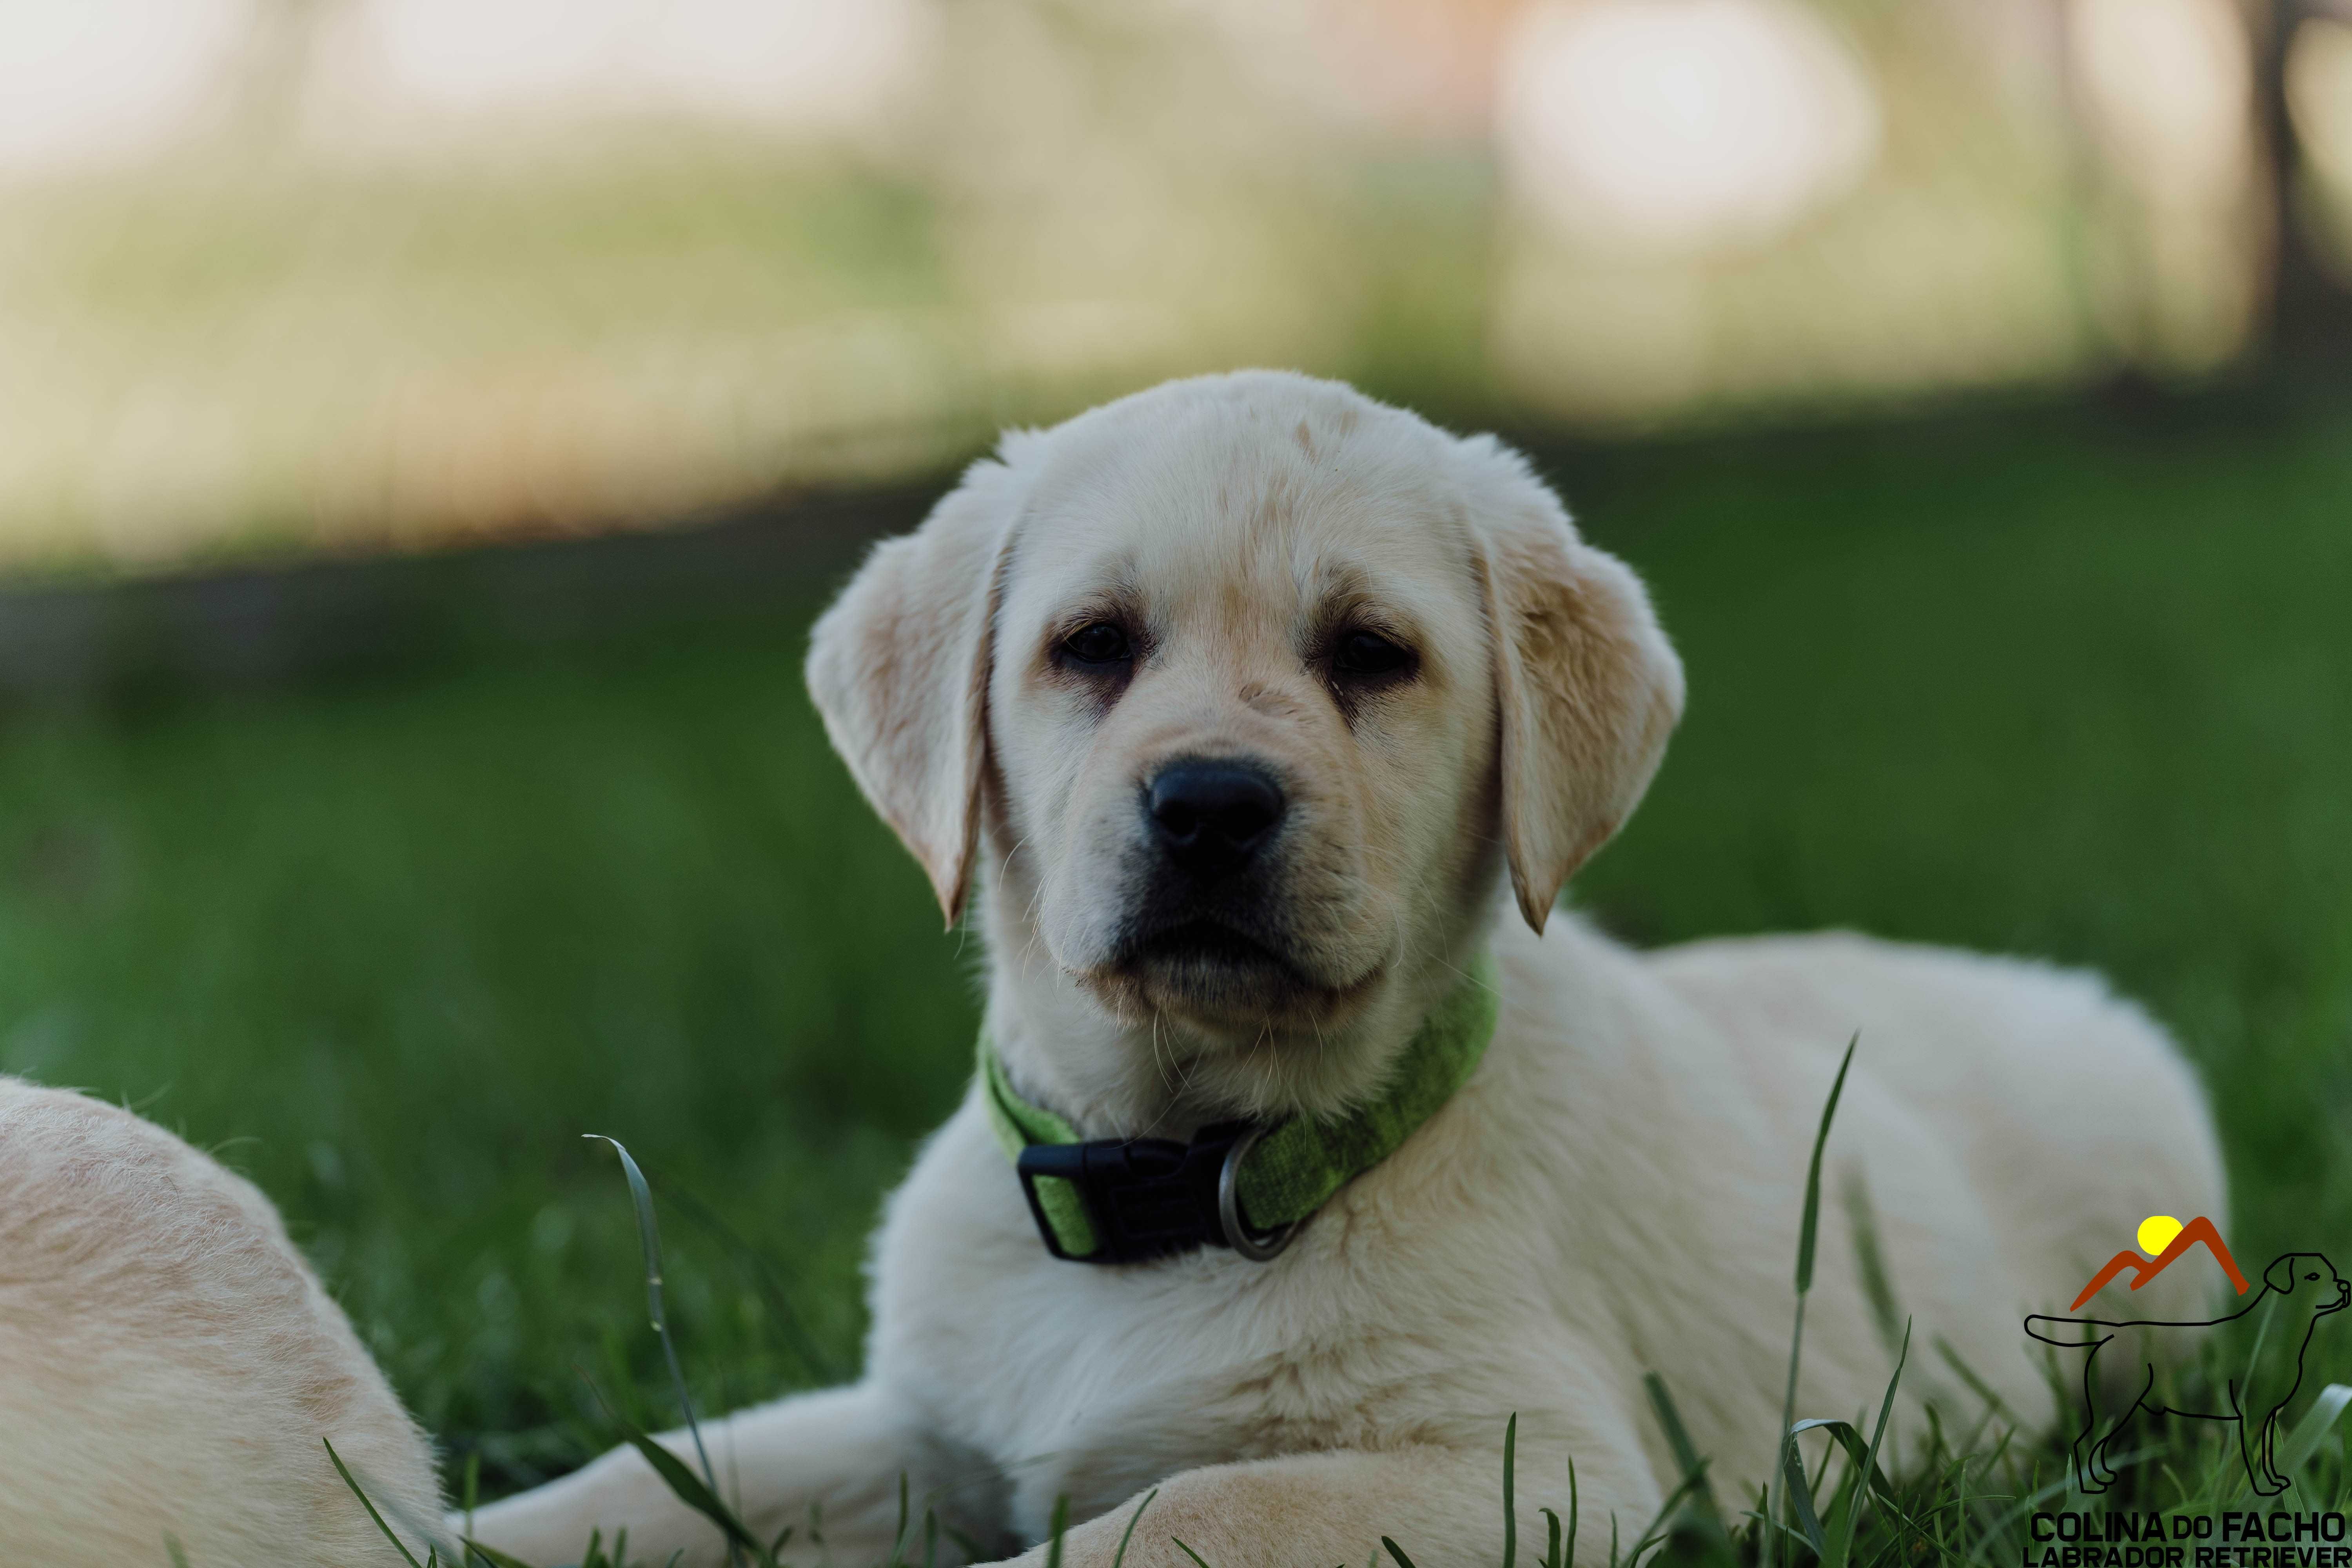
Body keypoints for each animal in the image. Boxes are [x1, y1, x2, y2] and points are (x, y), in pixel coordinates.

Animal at [463, 376, 2220, 1568]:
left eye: (1370, 655)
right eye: (1092, 646)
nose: (1209, 803)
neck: (1189, 1171)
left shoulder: (1530, 1470)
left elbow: (1173, 1518)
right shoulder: (916, 1426)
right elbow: (658, 1473)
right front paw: (453, 1530)